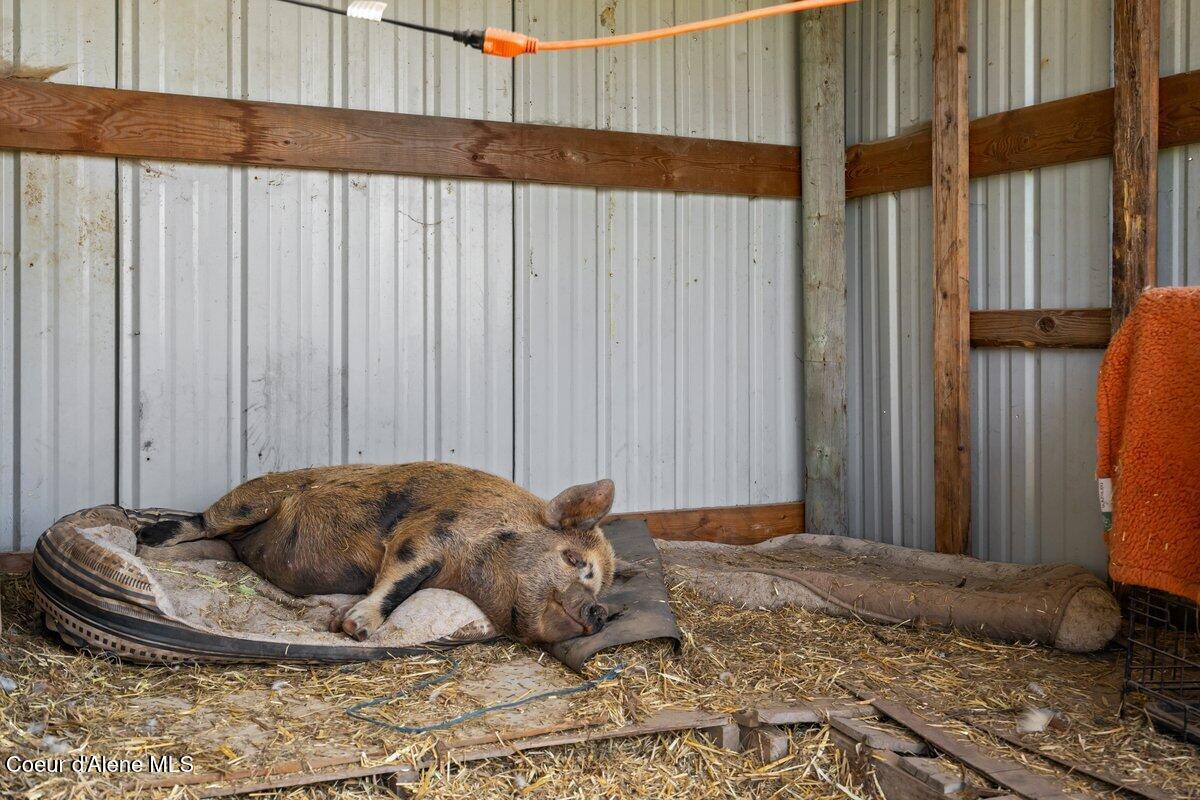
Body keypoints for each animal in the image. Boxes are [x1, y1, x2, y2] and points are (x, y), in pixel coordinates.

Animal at [135, 463, 616, 644]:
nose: (599, 611)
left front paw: (350, 625)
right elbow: (399, 578)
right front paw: (354, 629)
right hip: (250, 500)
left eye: (599, 587)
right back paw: (147, 538)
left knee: (217, 546)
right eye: (573, 560)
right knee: (201, 520)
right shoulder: (427, 532)